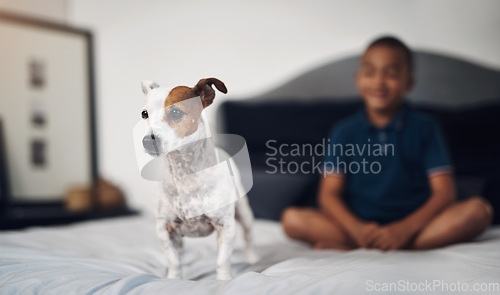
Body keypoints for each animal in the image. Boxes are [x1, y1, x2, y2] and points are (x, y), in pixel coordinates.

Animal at [140, 78, 258, 280]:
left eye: (176, 112)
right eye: (144, 114)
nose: (148, 141)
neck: (185, 172)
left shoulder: (225, 226)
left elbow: (222, 261)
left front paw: (224, 280)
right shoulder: (165, 229)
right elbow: (174, 262)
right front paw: (173, 279)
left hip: (244, 213)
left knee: (249, 236)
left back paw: (252, 258)